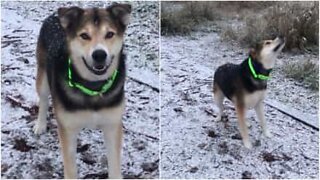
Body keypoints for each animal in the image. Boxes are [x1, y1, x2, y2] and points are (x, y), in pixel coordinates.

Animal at [33, 3, 131, 178]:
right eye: (84, 35)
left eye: (110, 34)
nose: (99, 54)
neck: (93, 88)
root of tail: (54, 16)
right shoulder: (67, 129)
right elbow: (70, 167)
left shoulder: (113, 125)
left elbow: (114, 164)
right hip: (42, 72)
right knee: (43, 98)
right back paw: (40, 124)